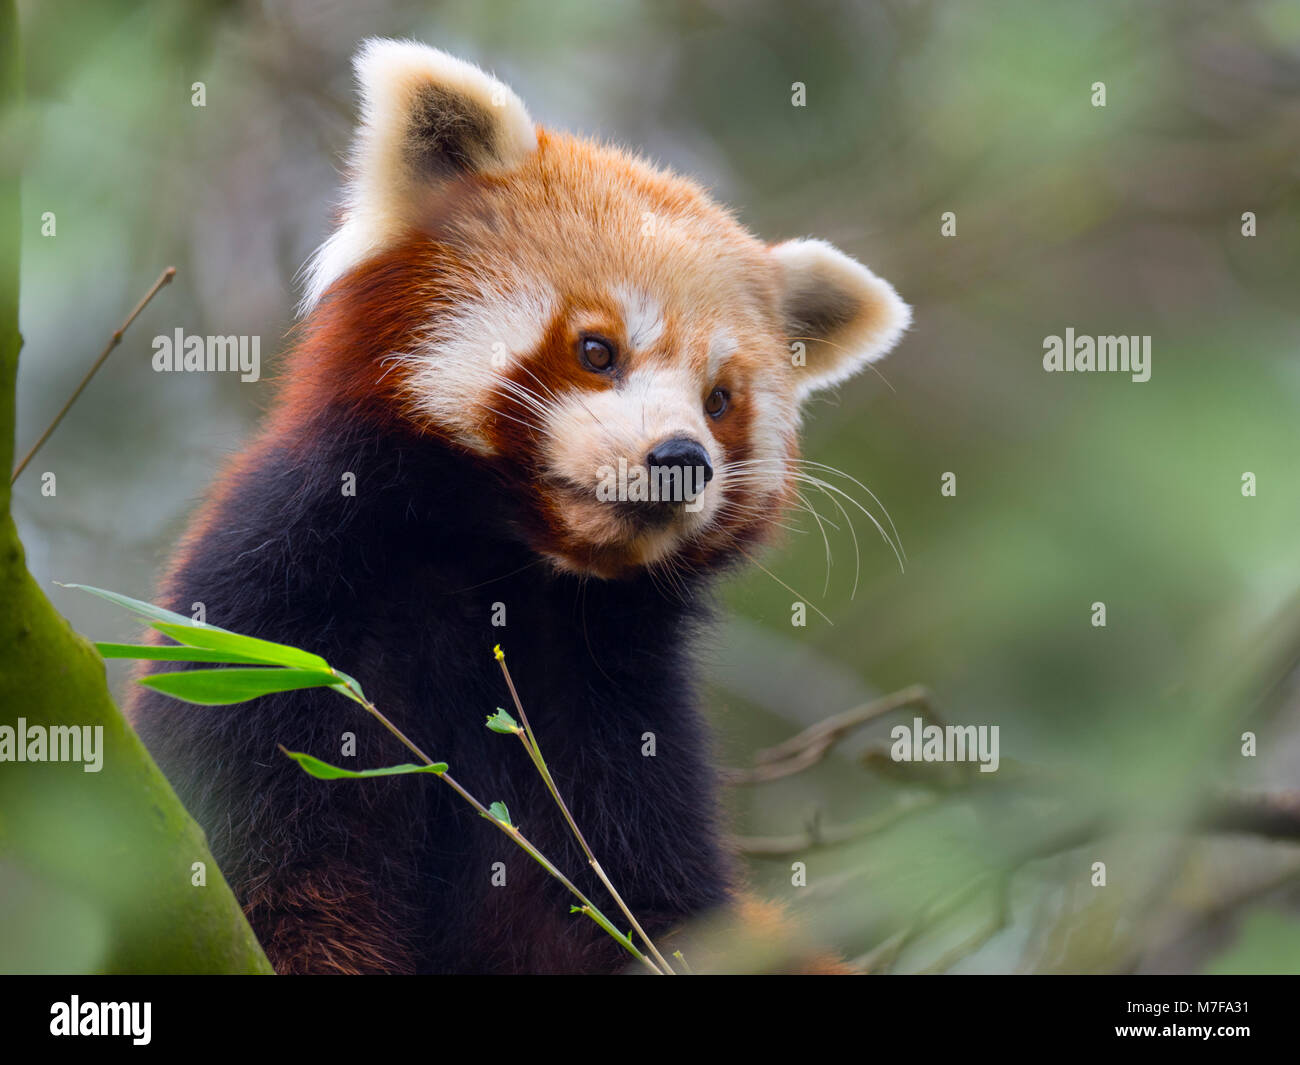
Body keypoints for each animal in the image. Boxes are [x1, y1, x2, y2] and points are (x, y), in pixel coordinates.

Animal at [126, 39, 909, 972]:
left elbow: (625, 903)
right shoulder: (274, 618)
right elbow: (282, 872)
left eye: (720, 399)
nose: (682, 460)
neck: (501, 567)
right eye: (597, 350)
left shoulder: (613, 712)